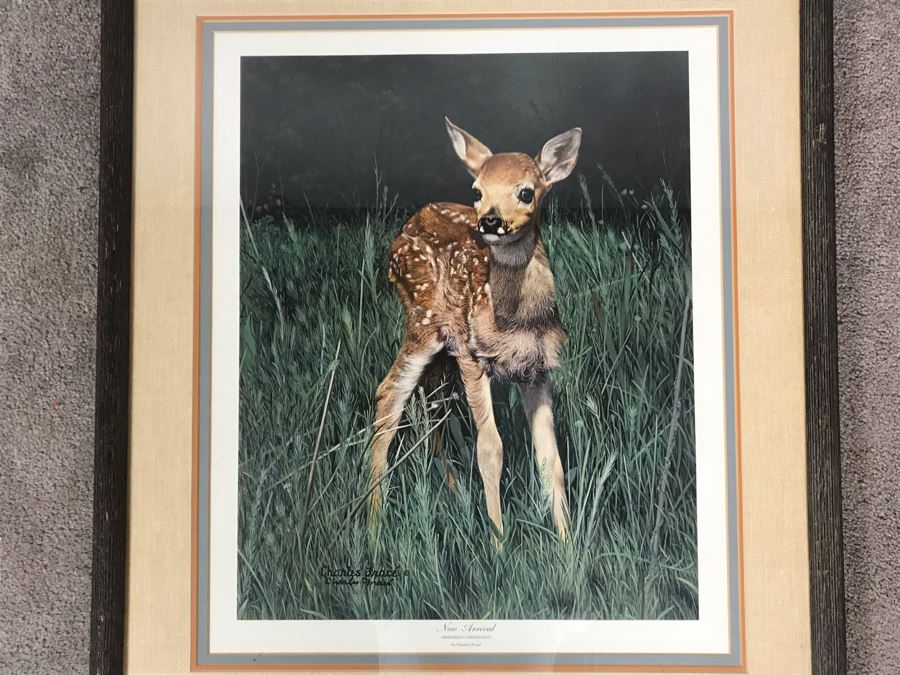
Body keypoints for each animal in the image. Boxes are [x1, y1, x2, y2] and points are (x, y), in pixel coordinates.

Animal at [368, 118, 582, 542]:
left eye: (526, 192)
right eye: (477, 191)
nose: (490, 221)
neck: (513, 320)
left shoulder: (536, 369)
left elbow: (550, 458)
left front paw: (568, 546)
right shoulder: (471, 354)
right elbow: (490, 449)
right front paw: (499, 541)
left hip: (440, 352)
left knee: (431, 403)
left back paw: (451, 490)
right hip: (424, 324)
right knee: (388, 396)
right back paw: (371, 526)